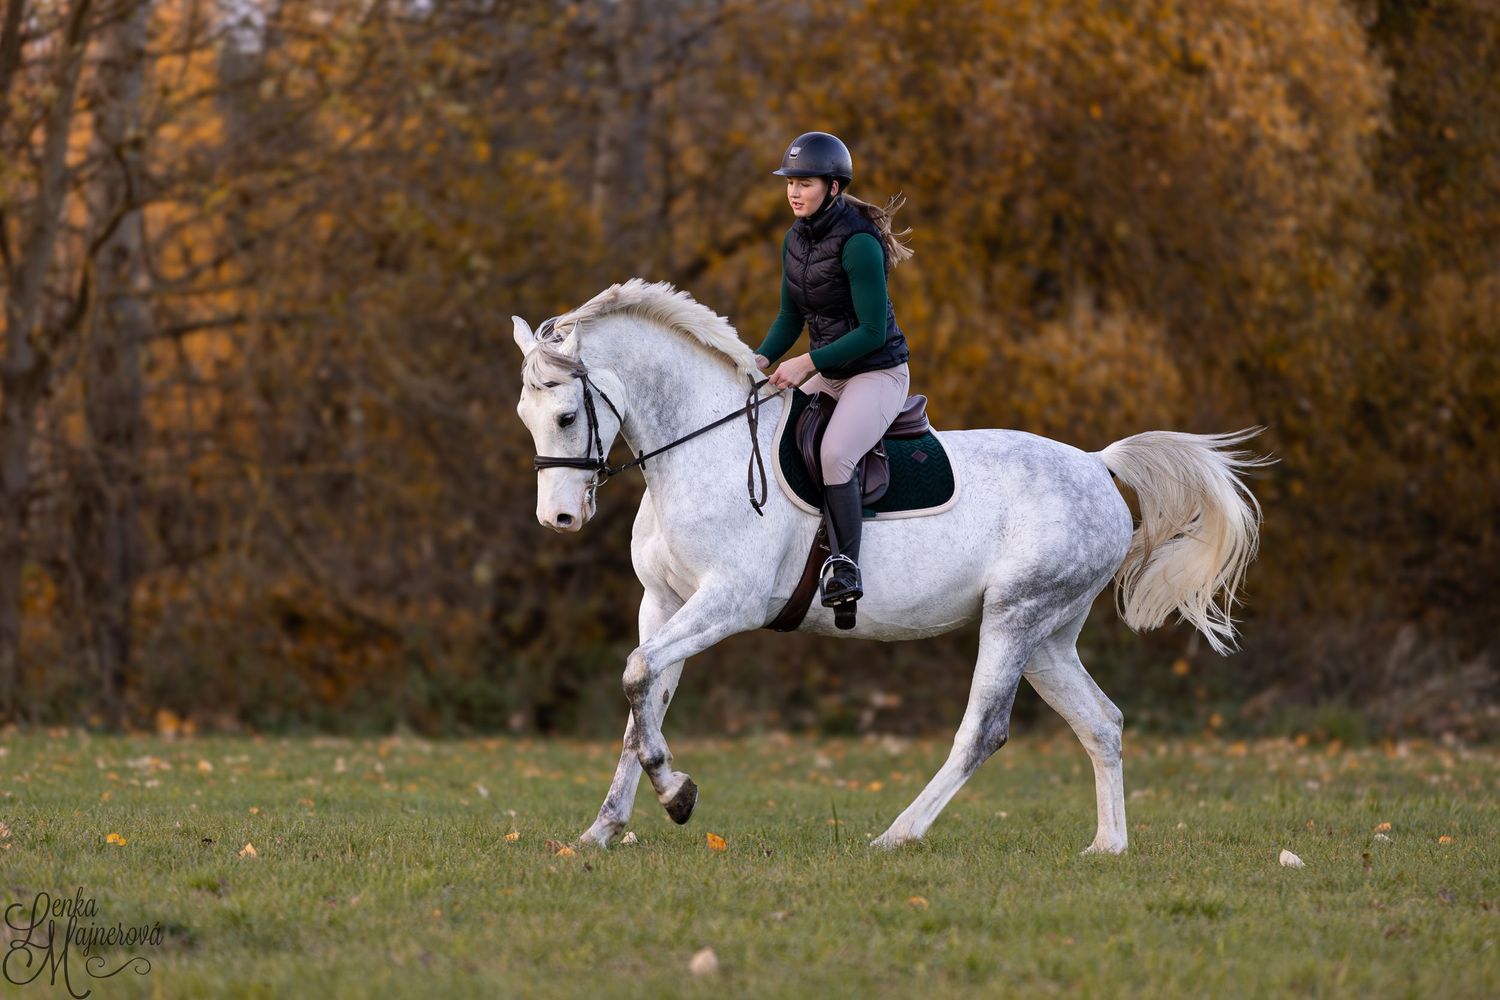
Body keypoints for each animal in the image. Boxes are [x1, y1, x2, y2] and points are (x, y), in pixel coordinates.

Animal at [511, 279, 1267, 853]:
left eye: (569, 415)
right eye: (526, 414)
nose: (559, 520)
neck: (704, 448)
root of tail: (1096, 464)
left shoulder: (727, 603)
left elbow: (637, 674)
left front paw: (678, 795)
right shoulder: (664, 603)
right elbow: (640, 703)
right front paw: (604, 830)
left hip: (1015, 616)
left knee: (983, 731)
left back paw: (897, 835)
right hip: (1049, 635)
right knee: (1101, 722)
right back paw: (1107, 847)